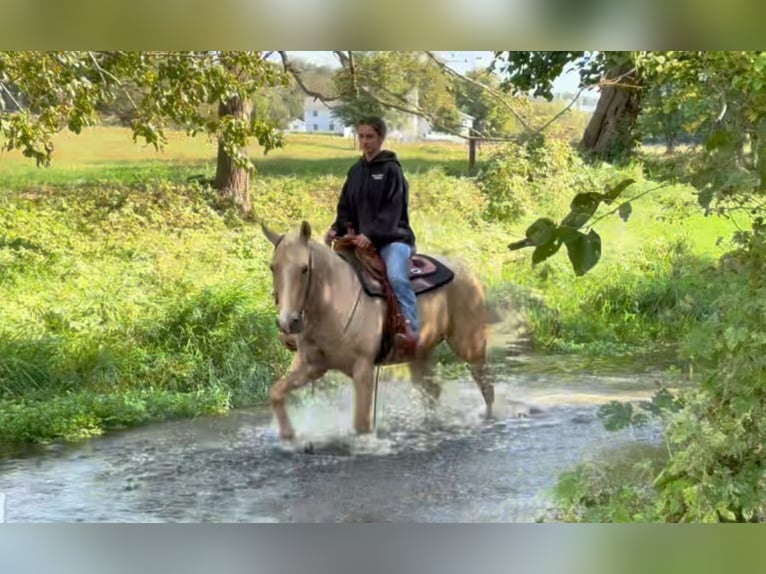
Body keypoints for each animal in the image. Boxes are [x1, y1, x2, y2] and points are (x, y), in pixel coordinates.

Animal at [261, 220, 494, 441]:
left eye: (304, 269)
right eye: (273, 267)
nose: (288, 323)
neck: (334, 300)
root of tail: (463, 267)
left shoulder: (363, 369)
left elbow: (361, 424)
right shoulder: (311, 366)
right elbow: (275, 392)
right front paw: (288, 435)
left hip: (468, 344)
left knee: (485, 383)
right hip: (420, 354)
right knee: (432, 391)